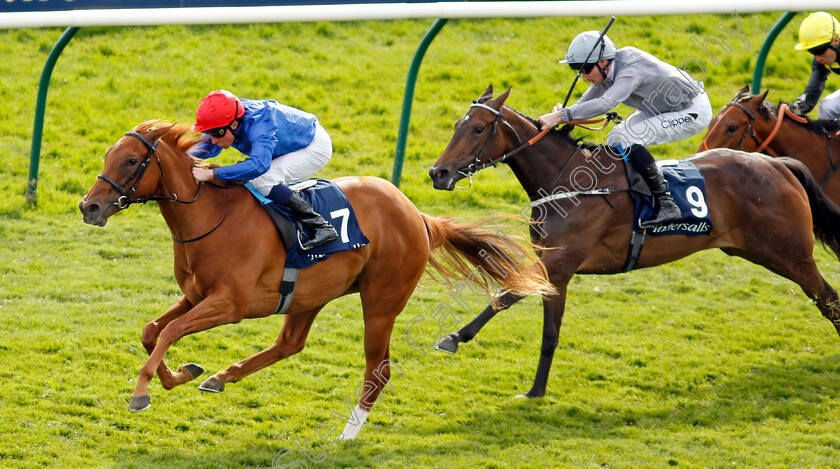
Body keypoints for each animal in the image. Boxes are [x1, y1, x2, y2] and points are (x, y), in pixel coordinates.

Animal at [79, 119, 552, 436]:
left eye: (132, 160)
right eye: (107, 157)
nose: (89, 207)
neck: (210, 217)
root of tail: (415, 213)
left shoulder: (229, 305)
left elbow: (169, 332)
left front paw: (142, 392)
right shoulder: (195, 296)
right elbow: (152, 331)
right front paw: (182, 374)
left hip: (381, 301)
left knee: (378, 369)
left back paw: (347, 434)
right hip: (311, 294)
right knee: (290, 343)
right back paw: (220, 377)